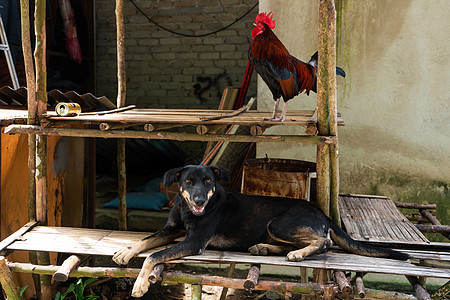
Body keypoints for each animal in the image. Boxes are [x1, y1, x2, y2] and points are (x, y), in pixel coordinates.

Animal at [111, 165, 408, 296]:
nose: (199, 200)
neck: (186, 210)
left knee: (324, 242)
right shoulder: (171, 230)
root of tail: (322, 213)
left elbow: (154, 256)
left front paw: (139, 284)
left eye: (208, 181)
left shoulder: (194, 242)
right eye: (188, 181)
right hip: (275, 228)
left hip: (278, 223)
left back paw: (298, 254)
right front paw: (125, 251)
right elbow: (146, 242)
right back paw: (265, 247)